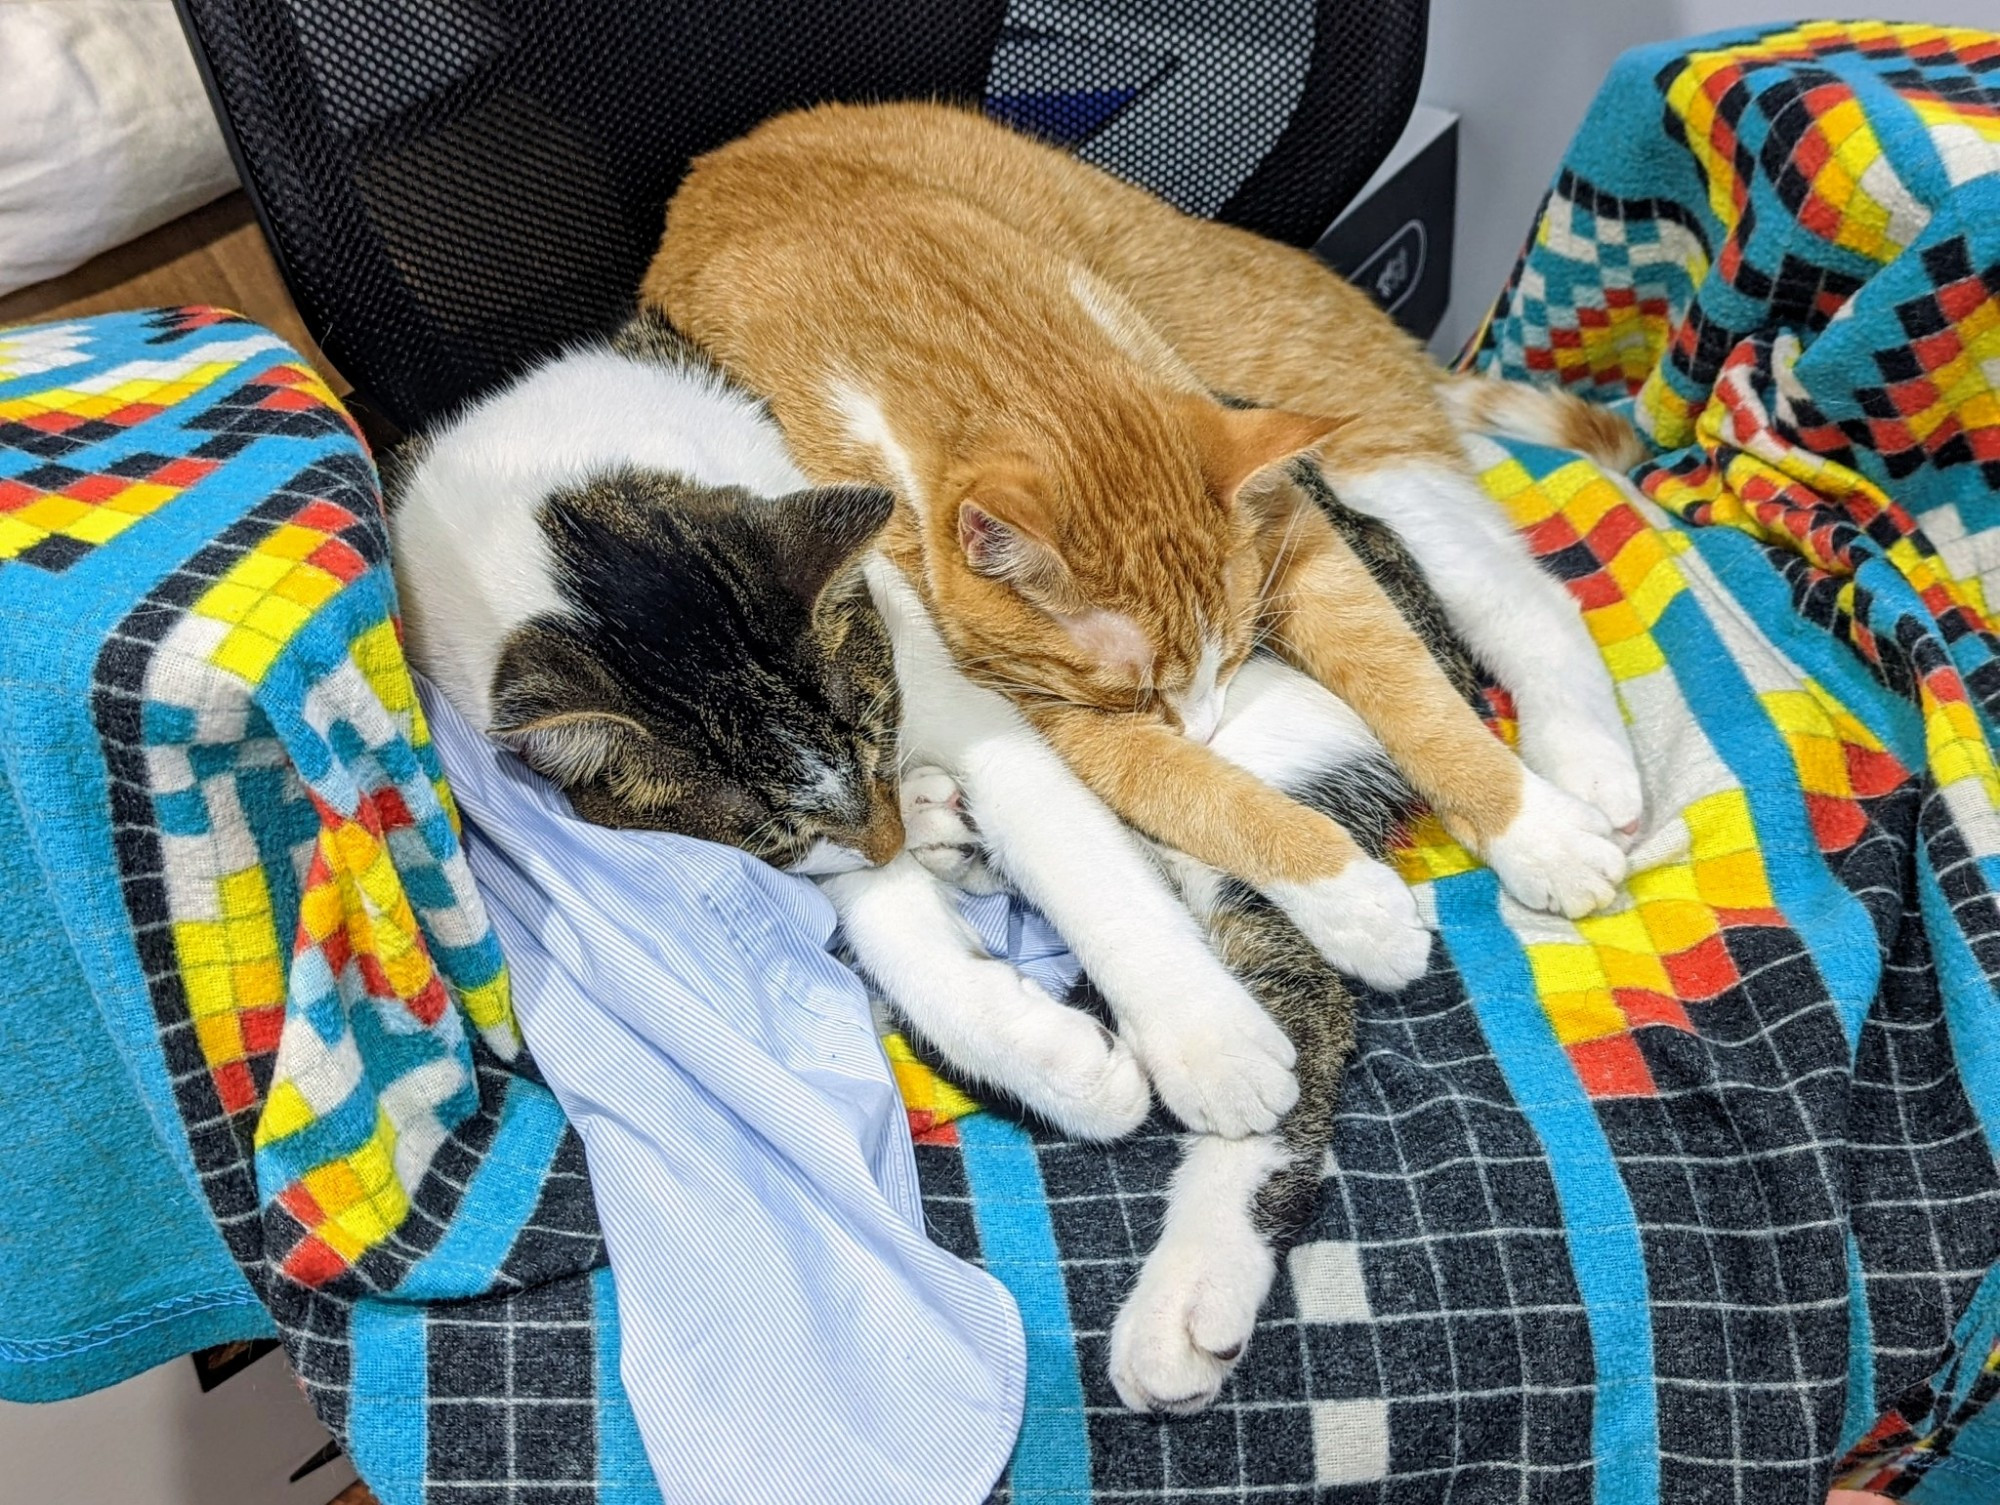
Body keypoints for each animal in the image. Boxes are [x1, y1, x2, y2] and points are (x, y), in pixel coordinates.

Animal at [648, 97, 1648, 988]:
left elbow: (1414, 694)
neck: (928, 318)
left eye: (1237, 651)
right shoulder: (1054, 706)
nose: (1206, 723)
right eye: (1140, 692)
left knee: (1527, 594)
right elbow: (1199, 792)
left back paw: (1591, 773)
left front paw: (1535, 833)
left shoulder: (1299, 530)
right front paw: (1352, 904)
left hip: (1372, 460)